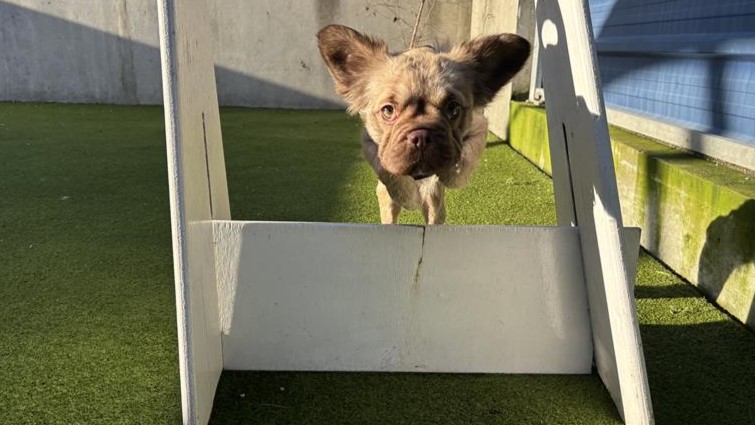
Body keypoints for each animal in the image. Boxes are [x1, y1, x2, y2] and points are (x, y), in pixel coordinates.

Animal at [317, 25, 530, 224]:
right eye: (388, 110)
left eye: (453, 108)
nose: (422, 135)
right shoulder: (371, 145)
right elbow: (387, 170)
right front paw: (408, 196)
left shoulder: (479, 129)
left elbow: (464, 160)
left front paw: (449, 174)